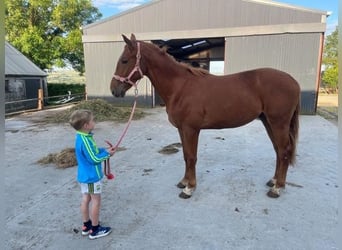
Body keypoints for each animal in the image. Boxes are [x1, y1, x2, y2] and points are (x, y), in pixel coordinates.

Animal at [110, 34, 300, 199]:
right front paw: (184, 182)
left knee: (284, 151)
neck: (180, 87)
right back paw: (274, 181)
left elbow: (192, 157)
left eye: (124, 60)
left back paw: (277, 188)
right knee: (278, 150)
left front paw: (189, 188)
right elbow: (185, 155)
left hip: (278, 123)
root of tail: (293, 81)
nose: (114, 90)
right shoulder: (182, 129)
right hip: (268, 122)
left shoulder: (191, 129)